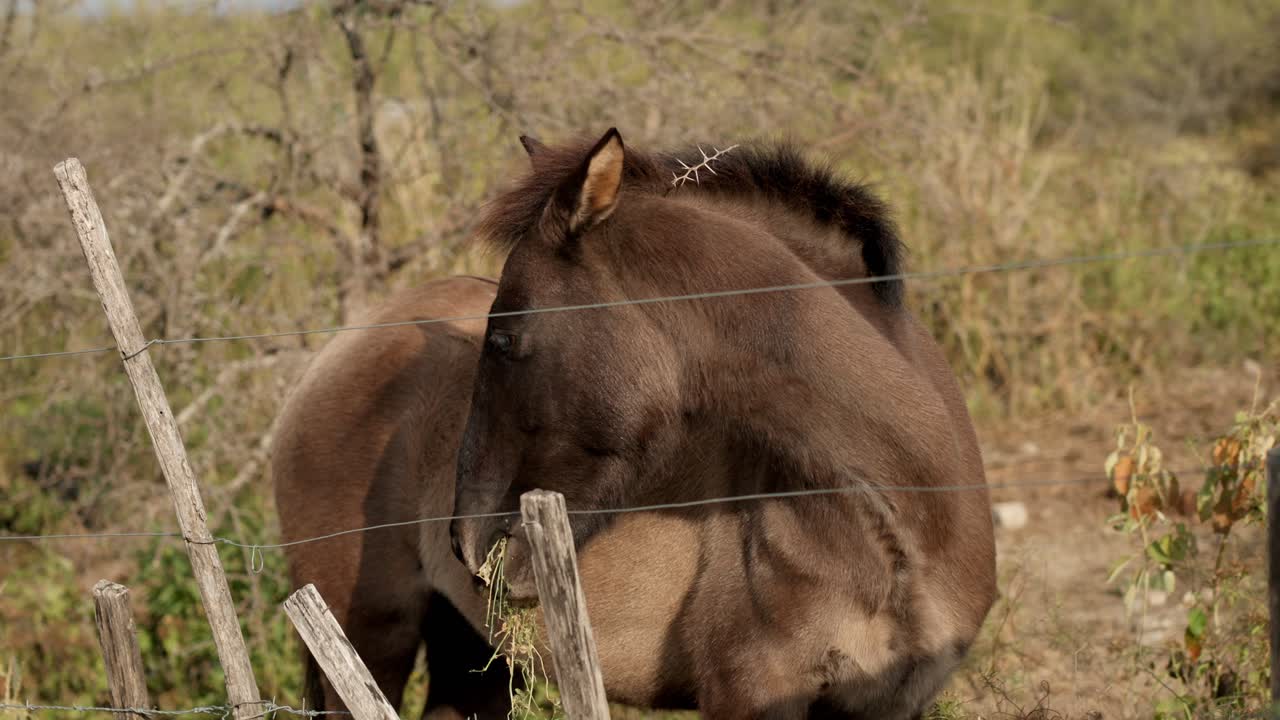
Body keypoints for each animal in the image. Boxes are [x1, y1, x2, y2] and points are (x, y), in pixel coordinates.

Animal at [273, 129, 996, 720]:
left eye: (503, 338)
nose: (467, 541)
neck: (901, 525)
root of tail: (350, 341)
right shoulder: (751, 694)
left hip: (472, 656)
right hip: (370, 635)